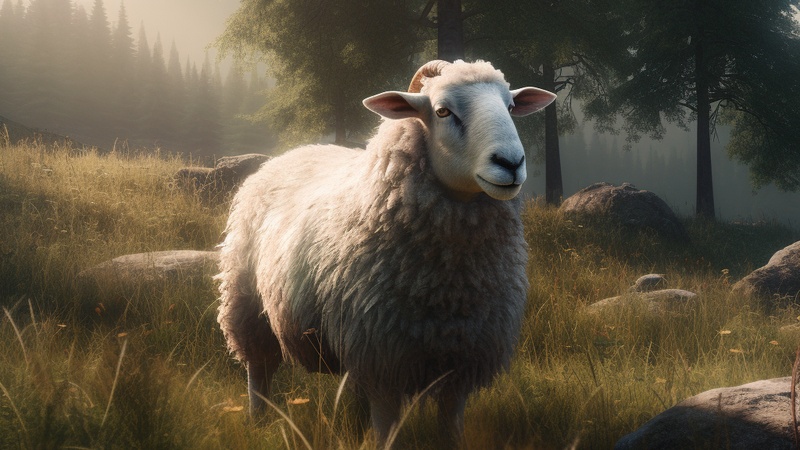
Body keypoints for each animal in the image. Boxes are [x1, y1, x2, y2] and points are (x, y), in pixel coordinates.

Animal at [215, 59, 556, 447]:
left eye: (511, 107)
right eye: (442, 111)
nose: (511, 163)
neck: (449, 288)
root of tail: (293, 152)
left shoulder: (461, 357)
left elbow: (450, 424)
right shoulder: (383, 357)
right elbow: (387, 428)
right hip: (246, 302)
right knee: (259, 369)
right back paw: (257, 420)